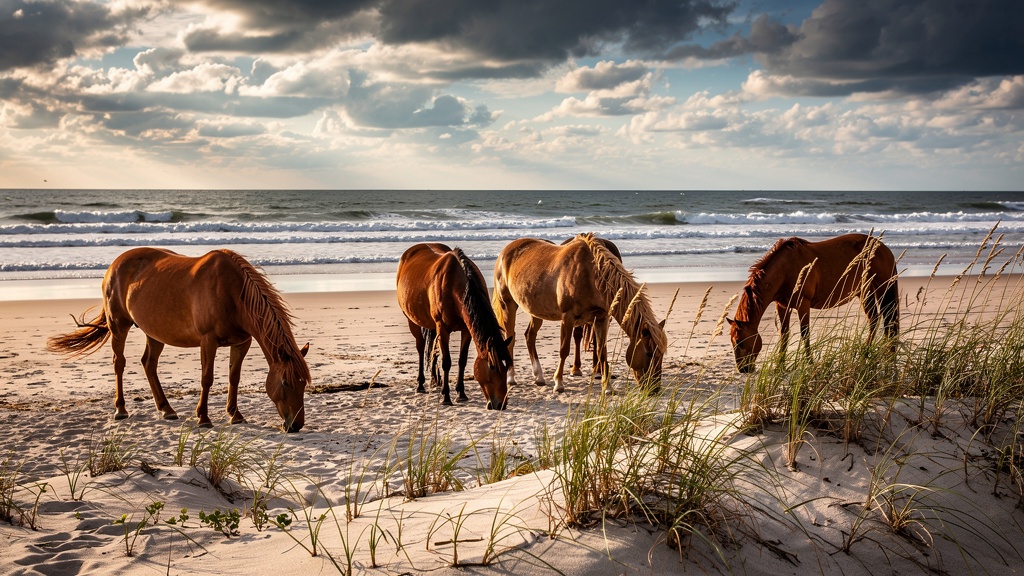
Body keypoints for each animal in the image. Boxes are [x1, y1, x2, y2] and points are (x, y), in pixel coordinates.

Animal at [47, 247, 310, 432]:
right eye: (286, 383)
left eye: (303, 384)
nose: (295, 426)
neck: (233, 293)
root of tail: (115, 265)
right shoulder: (208, 341)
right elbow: (207, 379)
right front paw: (203, 418)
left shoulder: (241, 342)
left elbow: (233, 378)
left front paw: (235, 415)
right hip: (119, 326)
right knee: (119, 363)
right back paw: (121, 409)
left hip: (154, 333)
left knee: (149, 364)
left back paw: (167, 409)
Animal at [396, 243, 512, 409]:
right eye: (491, 366)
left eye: (507, 366)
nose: (500, 404)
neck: (455, 286)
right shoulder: (443, 329)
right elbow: (447, 362)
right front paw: (446, 397)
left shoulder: (466, 330)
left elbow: (462, 360)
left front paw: (461, 393)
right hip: (413, 321)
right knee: (421, 347)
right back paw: (421, 385)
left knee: (433, 350)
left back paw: (435, 380)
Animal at [493, 233, 667, 394]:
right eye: (649, 353)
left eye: (661, 353)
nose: (654, 389)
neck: (591, 275)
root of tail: (506, 250)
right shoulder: (567, 318)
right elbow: (564, 350)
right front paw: (559, 383)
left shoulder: (601, 318)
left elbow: (602, 352)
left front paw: (607, 387)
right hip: (508, 305)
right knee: (511, 337)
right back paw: (511, 378)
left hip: (535, 311)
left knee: (530, 336)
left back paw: (539, 377)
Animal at [726, 233, 899, 373]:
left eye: (740, 341)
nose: (743, 369)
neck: (786, 270)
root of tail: (884, 248)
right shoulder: (782, 306)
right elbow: (784, 335)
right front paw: (780, 365)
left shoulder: (803, 304)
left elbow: (805, 334)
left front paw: (809, 362)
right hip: (865, 292)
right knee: (877, 319)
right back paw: (872, 352)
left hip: (880, 289)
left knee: (882, 319)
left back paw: (868, 353)